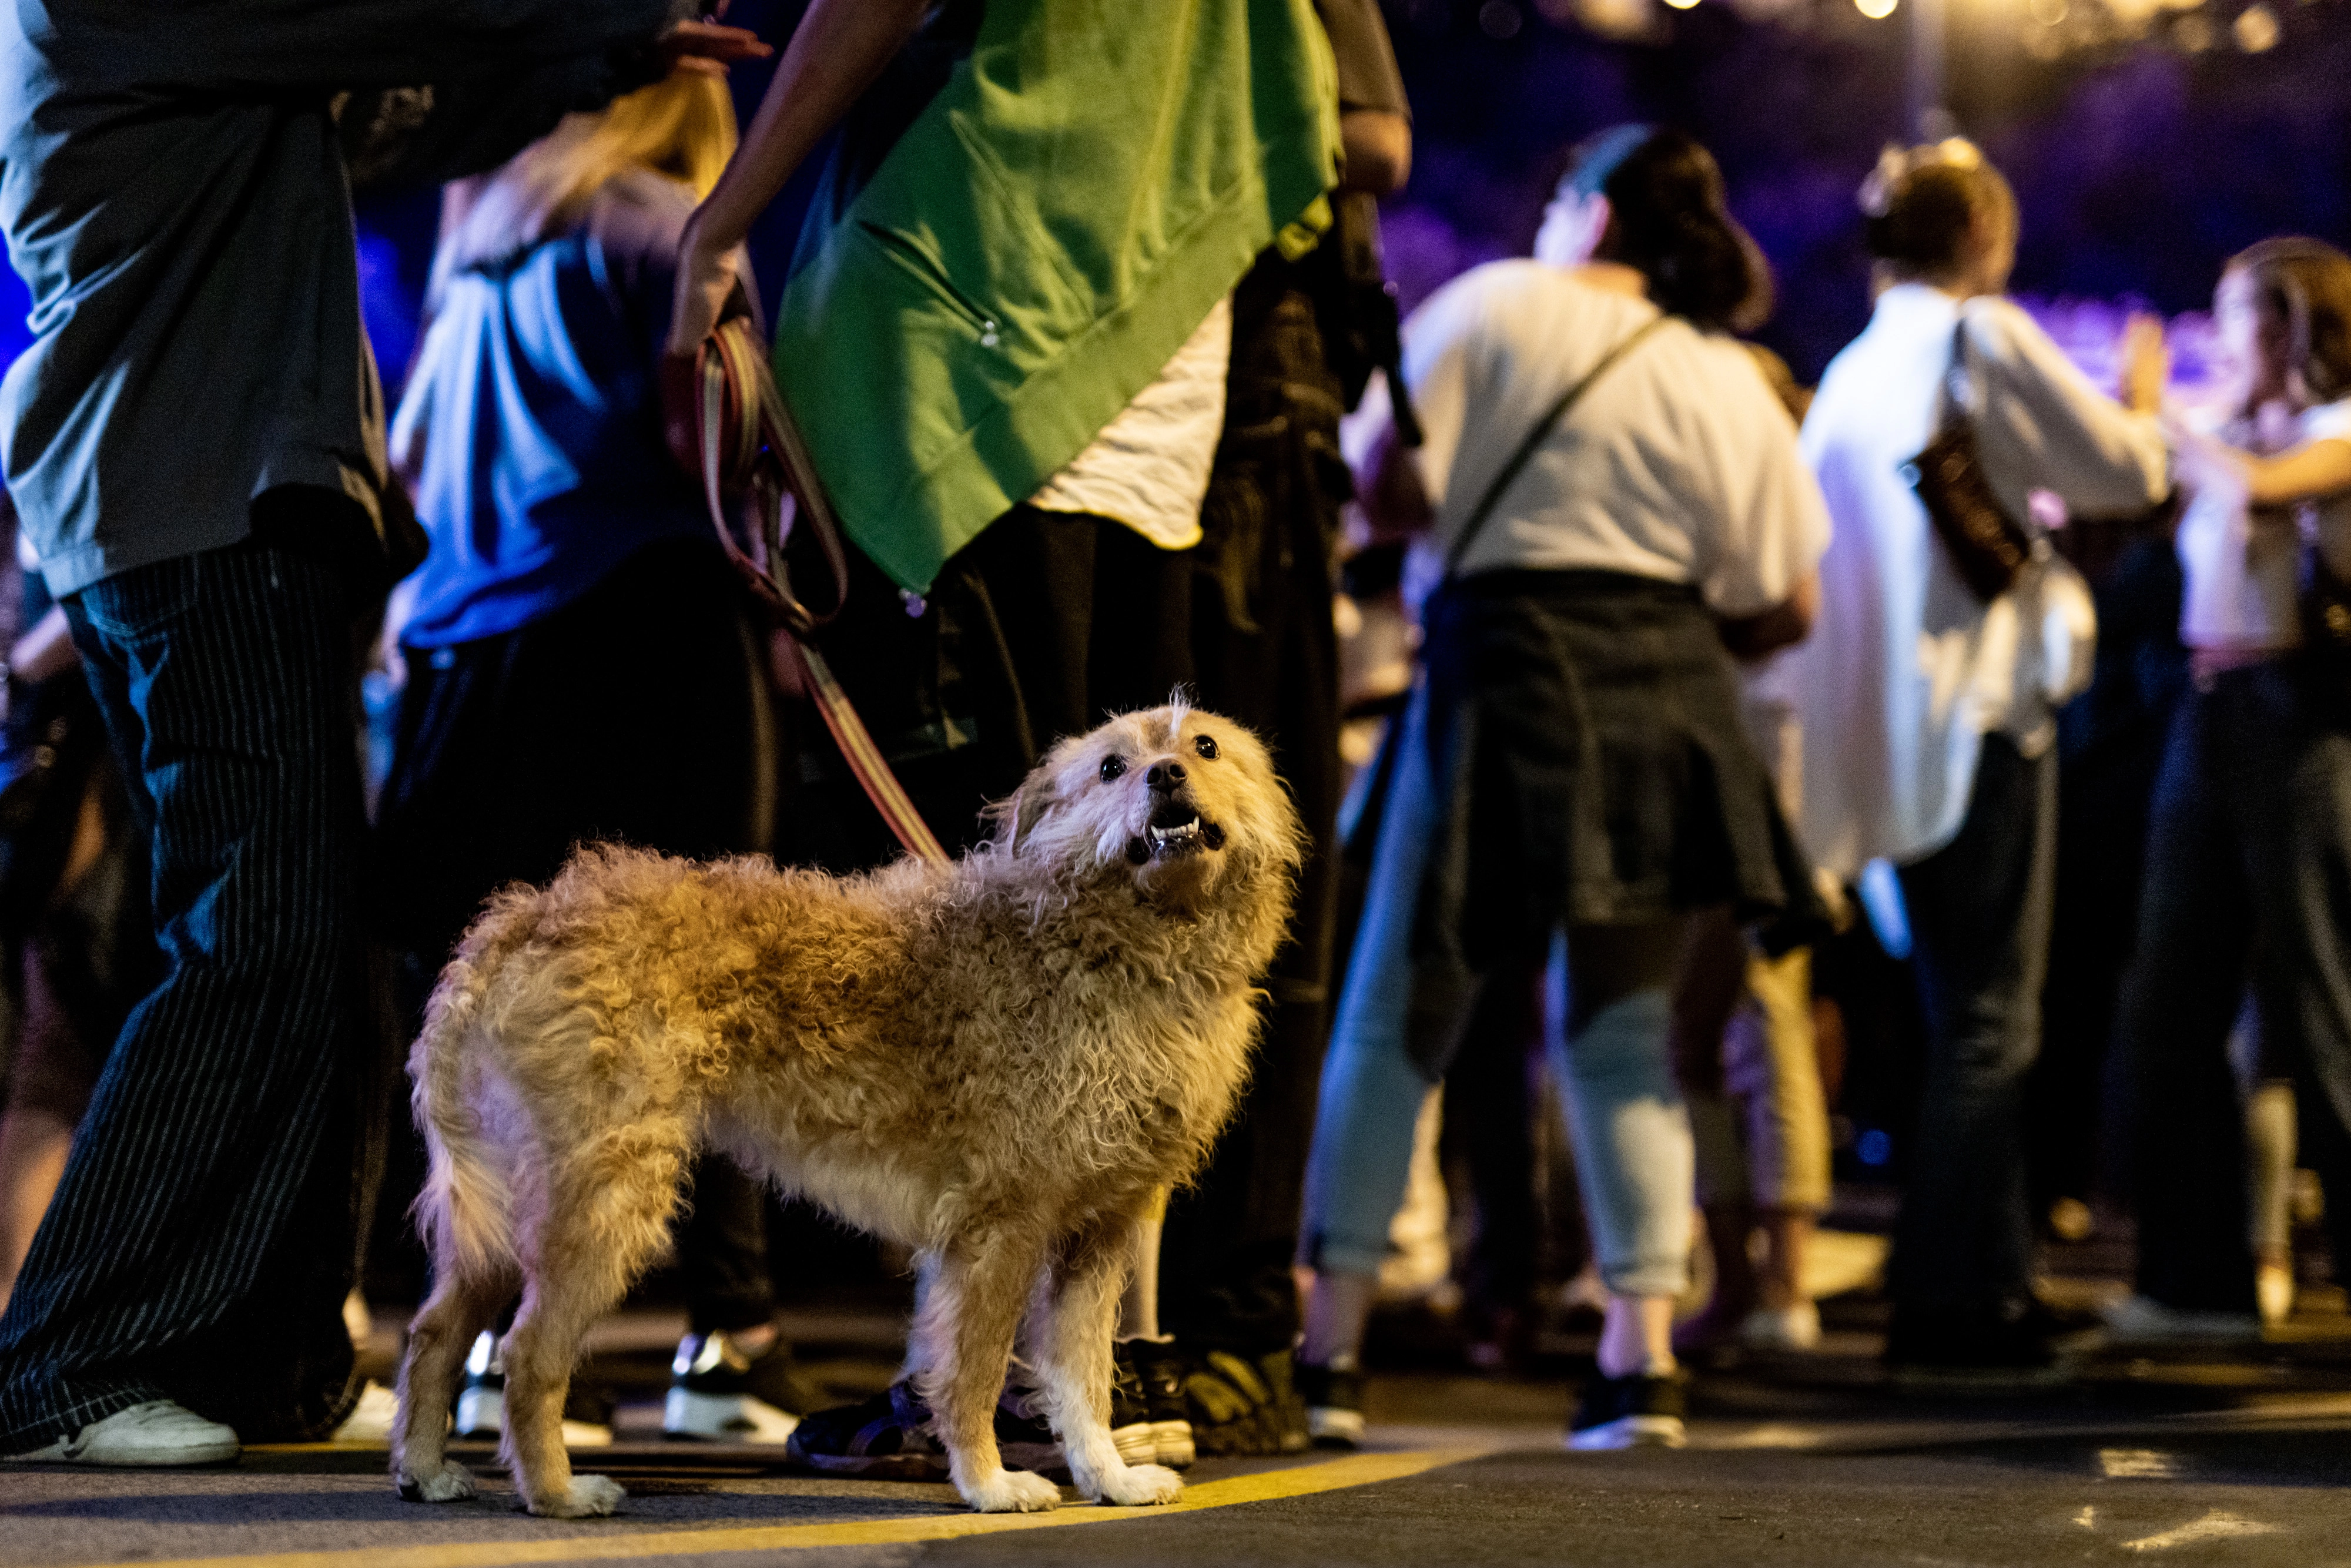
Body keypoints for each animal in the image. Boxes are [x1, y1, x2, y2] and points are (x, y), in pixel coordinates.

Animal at [388, 710, 1307, 1523]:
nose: (1166, 775)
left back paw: (426, 1471)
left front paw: (1108, 1478)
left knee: (434, 1334)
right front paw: (988, 1485)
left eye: (1205, 745)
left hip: (506, 1217)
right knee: (526, 1357)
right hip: (605, 1200)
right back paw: (555, 1494)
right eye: (1112, 766)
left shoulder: (1095, 1237)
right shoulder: (1000, 1231)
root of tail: (519, 920)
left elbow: (1080, 1384)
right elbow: (973, 1376)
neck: (1109, 941)